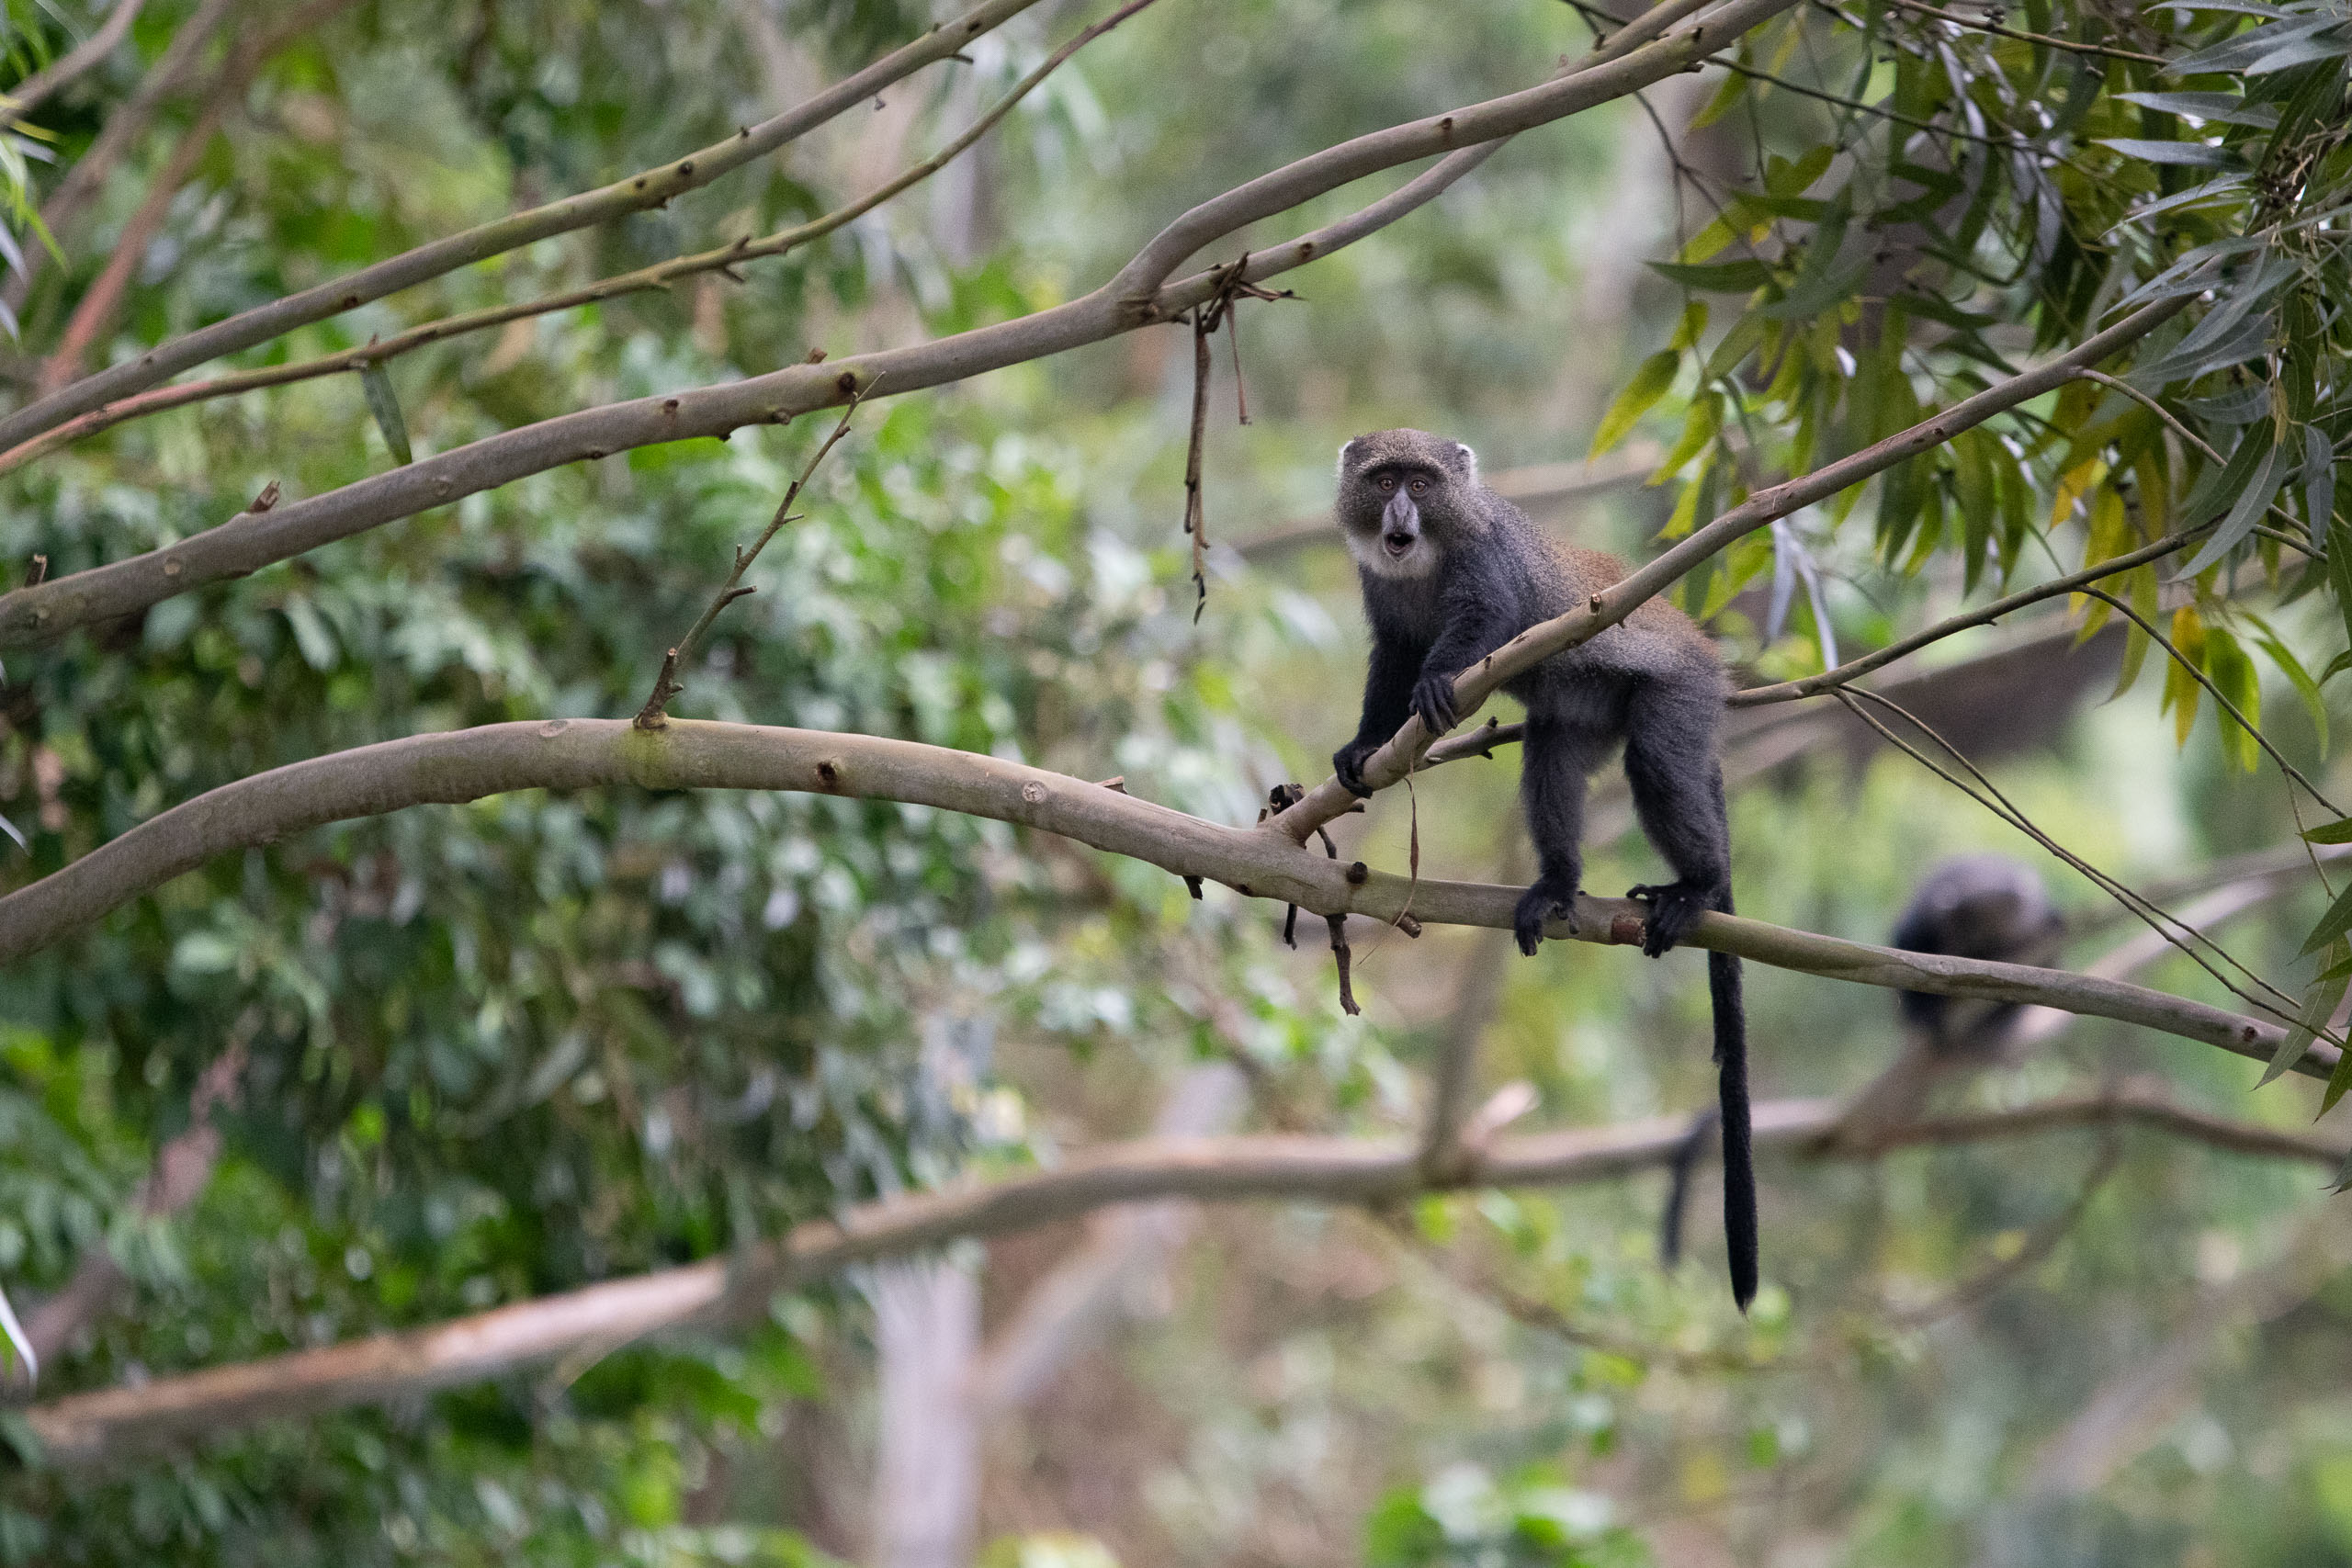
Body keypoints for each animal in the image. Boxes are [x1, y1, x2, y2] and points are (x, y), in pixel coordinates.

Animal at [1329, 428, 1756, 1311]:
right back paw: (1559, 884)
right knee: (1550, 755)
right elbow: (1392, 658)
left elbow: (1482, 624)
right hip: (1582, 714)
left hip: (1678, 697)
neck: (1427, 557)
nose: (1399, 515)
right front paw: (1364, 748)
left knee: (1660, 768)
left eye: (1423, 481)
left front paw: (1436, 684)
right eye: (1383, 480)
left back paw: (1697, 886)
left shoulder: (1488, 567)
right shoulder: (1384, 602)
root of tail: (1711, 660)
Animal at [1657, 854, 2063, 1267]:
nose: (2012, 898)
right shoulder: (1928, 920)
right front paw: (1926, 1013)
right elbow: (1907, 944)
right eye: (1970, 916)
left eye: (2012, 905)